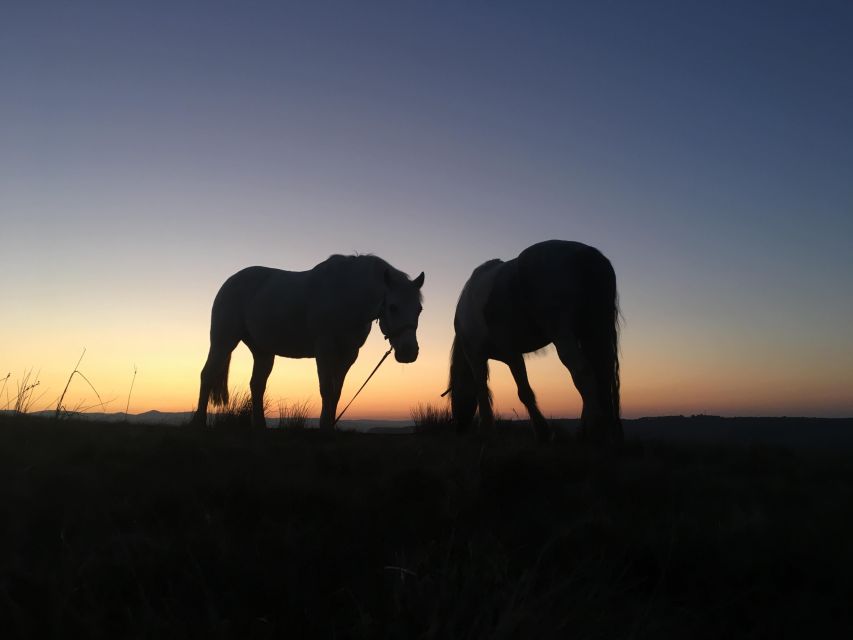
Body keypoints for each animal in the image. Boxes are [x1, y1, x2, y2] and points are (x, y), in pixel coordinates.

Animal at [190, 252, 422, 428]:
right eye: (393, 307)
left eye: (419, 309)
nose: (409, 352)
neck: (346, 294)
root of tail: (230, 281)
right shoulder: (324, 350)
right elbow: (326, 389)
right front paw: (324, 426)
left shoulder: (348, 355)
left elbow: (336, 391)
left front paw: (330, 426)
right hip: (223, 342)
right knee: (207, 375)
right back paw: (199, 423)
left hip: (263, 351)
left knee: (257, 385)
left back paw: (260, 426)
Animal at [450, 240, 624, 444]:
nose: (458, 428)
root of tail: (585, 254)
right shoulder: (511, 355)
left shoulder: (484, 356)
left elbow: (492, 391)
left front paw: (489, 432)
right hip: (593, 332)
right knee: (602, 373)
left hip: (563, 335)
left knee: (583, 372)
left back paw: (594, 429)